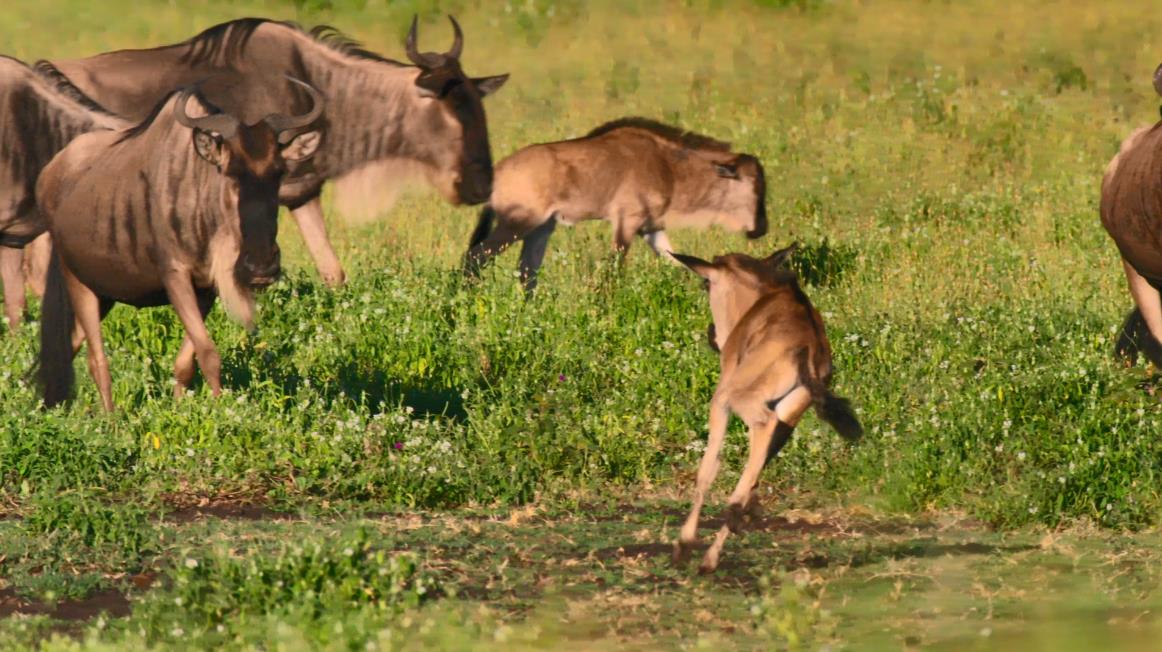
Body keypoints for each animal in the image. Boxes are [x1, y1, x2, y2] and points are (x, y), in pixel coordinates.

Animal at [35, 79, 323, 409]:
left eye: (278, 173)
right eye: (231, 172)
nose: (261, 266)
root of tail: (48, 175)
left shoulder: (206, 287)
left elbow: (188, 361)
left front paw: (182, 409)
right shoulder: (175, 276)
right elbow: (208, 352)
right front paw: (218, 409)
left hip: (104, 293)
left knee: (68, 348)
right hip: (77, 281)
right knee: (97, 360)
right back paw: (110, 418)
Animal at [457, 117, 766, 289]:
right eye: (752, 185)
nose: (760, 229)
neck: (666, 165)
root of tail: (497, 172)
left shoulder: (650, 229)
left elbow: (679, 263)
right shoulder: (627, 223)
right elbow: (613, 273)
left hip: (539, 230)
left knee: (526, 274)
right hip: (517, 225)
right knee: (474, 257)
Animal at [673, 242, 864, 569]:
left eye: (706, 283)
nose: (712, 334)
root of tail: (808, 349)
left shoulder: (721, 399)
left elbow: (708, 468)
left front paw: (684, 543)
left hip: (744, 400)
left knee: (762, 426)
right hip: (790, 410)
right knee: (758, 459)